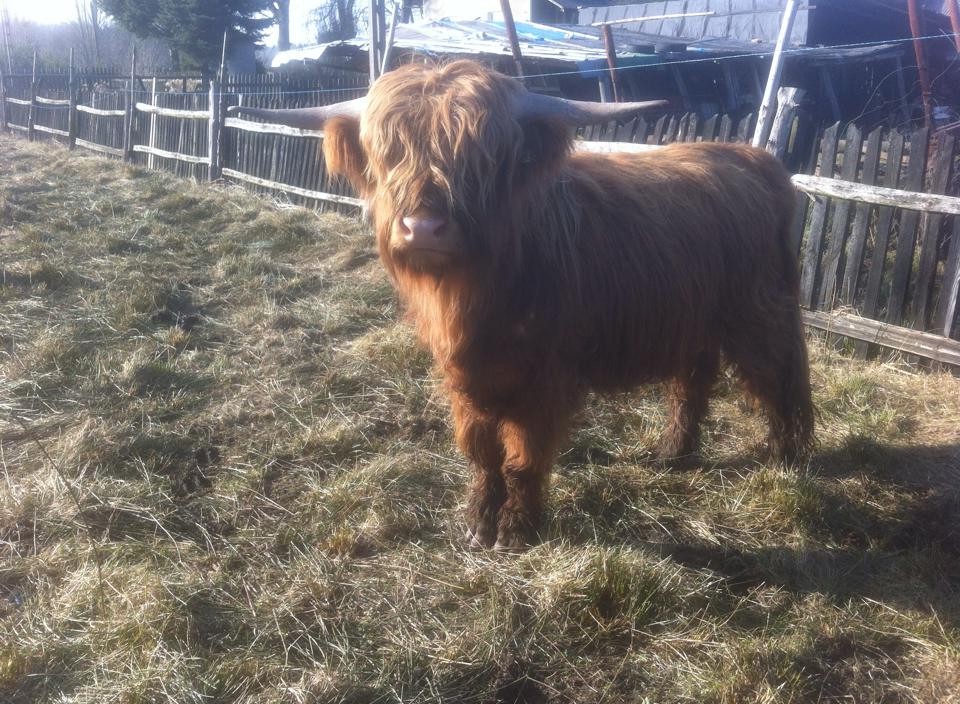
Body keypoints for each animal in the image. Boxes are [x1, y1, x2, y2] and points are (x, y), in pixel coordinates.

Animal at [231, 60, 815, 551]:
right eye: (388, 153)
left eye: (483, 157)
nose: (423, 227)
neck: (477, 296)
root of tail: (755, 159)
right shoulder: (463, 378)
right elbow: (481, 453)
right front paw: (477, 522)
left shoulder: (545, 379)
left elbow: (523, 457)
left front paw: (515, 529)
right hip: (694, 316)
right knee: (693, 379)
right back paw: (674, 452)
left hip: (759, 311)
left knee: (780, 377)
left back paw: (788, 459)